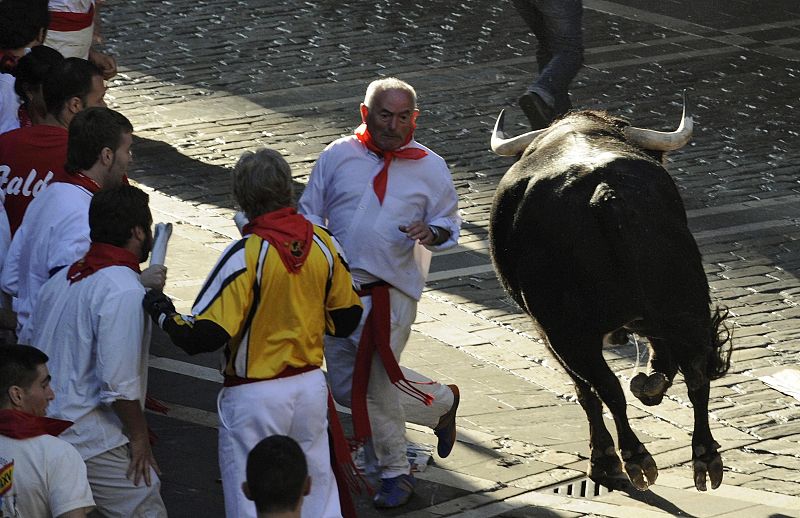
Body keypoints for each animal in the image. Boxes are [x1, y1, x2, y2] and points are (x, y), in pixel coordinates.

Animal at [488, 99, 732, 494]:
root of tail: (603, 191)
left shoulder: (548, 333)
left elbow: (587, 391)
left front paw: (604, 457)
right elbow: (662, 365)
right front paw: (650, 384)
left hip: (566, 333)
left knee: (605, 387)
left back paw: (629, 459)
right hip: (684, 305)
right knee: (696, 376)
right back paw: (705, 457)